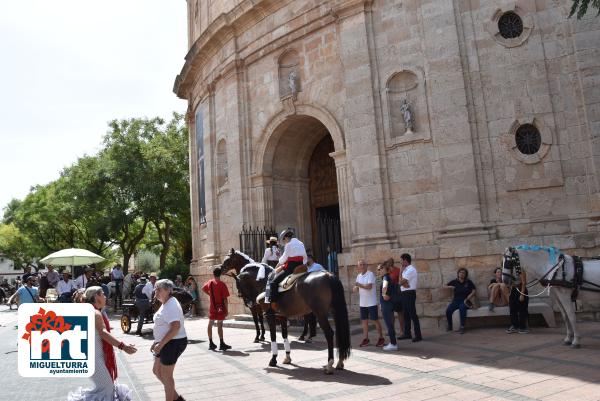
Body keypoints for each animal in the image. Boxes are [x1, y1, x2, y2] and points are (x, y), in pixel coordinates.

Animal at [221, 248, 352, 374]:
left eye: (227, 259)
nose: (248, 302)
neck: (264, 280)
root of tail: (328, 275)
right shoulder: (281, 315)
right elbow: (284, 336)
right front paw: (287, 357)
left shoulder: (269, 314)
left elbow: (272, 335)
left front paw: (273, 358)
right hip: (334, 310)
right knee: (339, 331)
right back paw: (339, 362)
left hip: (320, 313)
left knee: (329, 333)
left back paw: (329, 364)